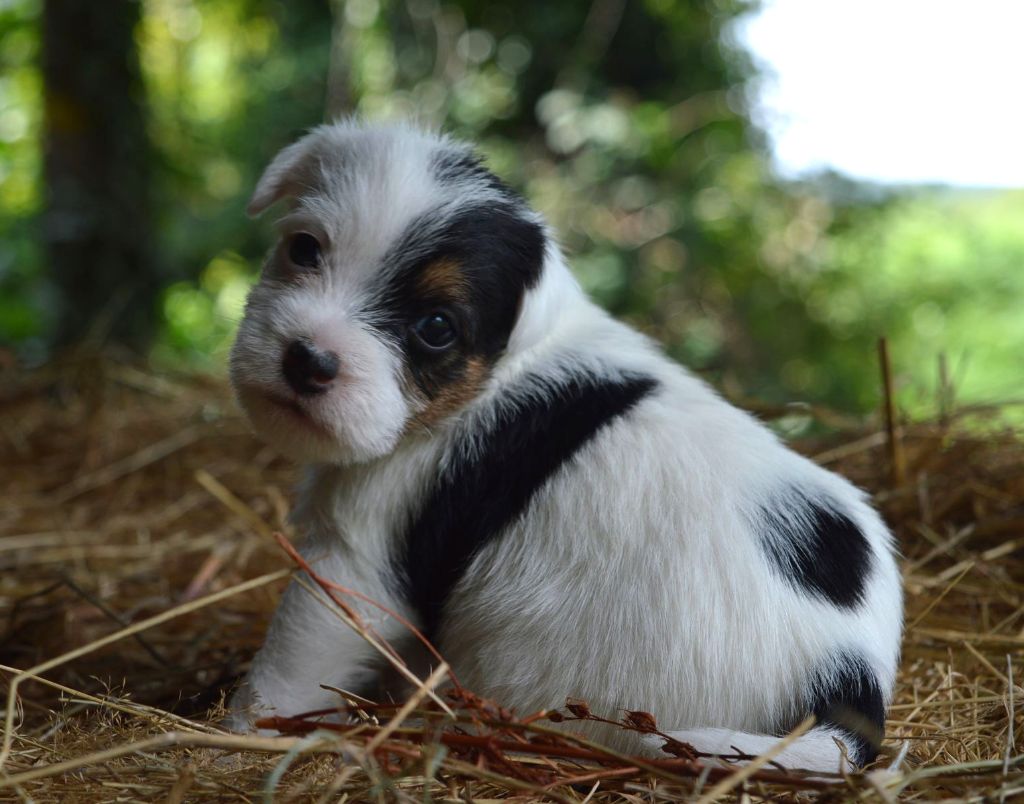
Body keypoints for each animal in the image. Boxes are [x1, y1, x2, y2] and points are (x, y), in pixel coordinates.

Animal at [226, 119, 905, 770]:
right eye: (304, 248)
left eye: (436, 328)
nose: (308, 359)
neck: (486, 383)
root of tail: (849, 686)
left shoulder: (354, 560)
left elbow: (292, 663)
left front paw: (241, 730)